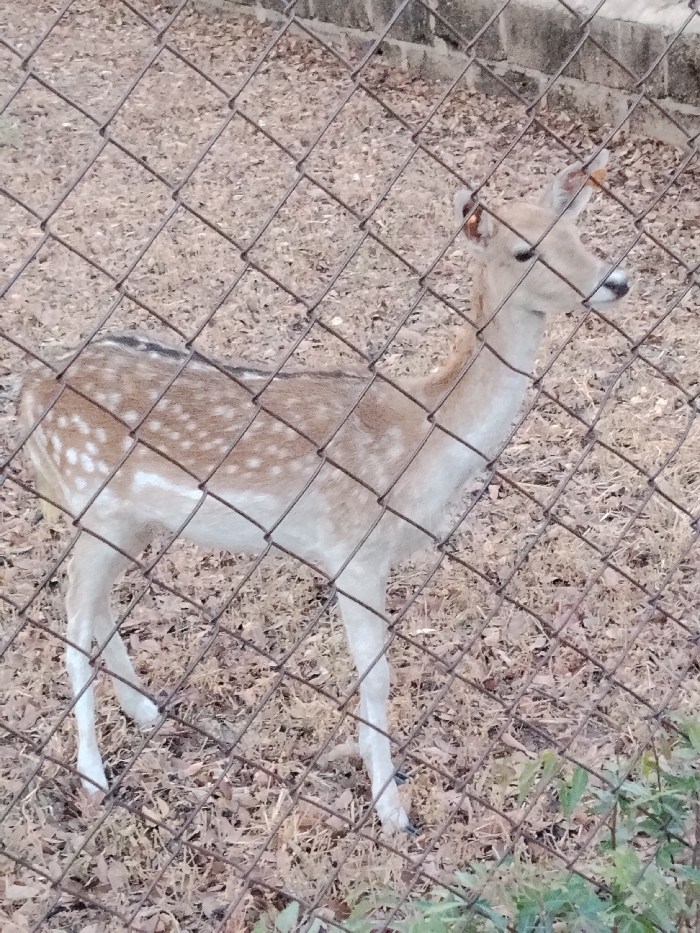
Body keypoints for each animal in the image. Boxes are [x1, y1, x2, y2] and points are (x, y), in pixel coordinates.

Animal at [17, 150, 629, 833]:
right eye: (525, 251)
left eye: (577, 233)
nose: (616, 281)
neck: (423, 440)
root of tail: (28, 390)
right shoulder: (352, 551)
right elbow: (377, 678)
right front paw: (392, 809)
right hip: (90, 499)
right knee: (71, 625)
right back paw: (94, 777)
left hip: (128, 520)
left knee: (96, 609)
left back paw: (146, 711)